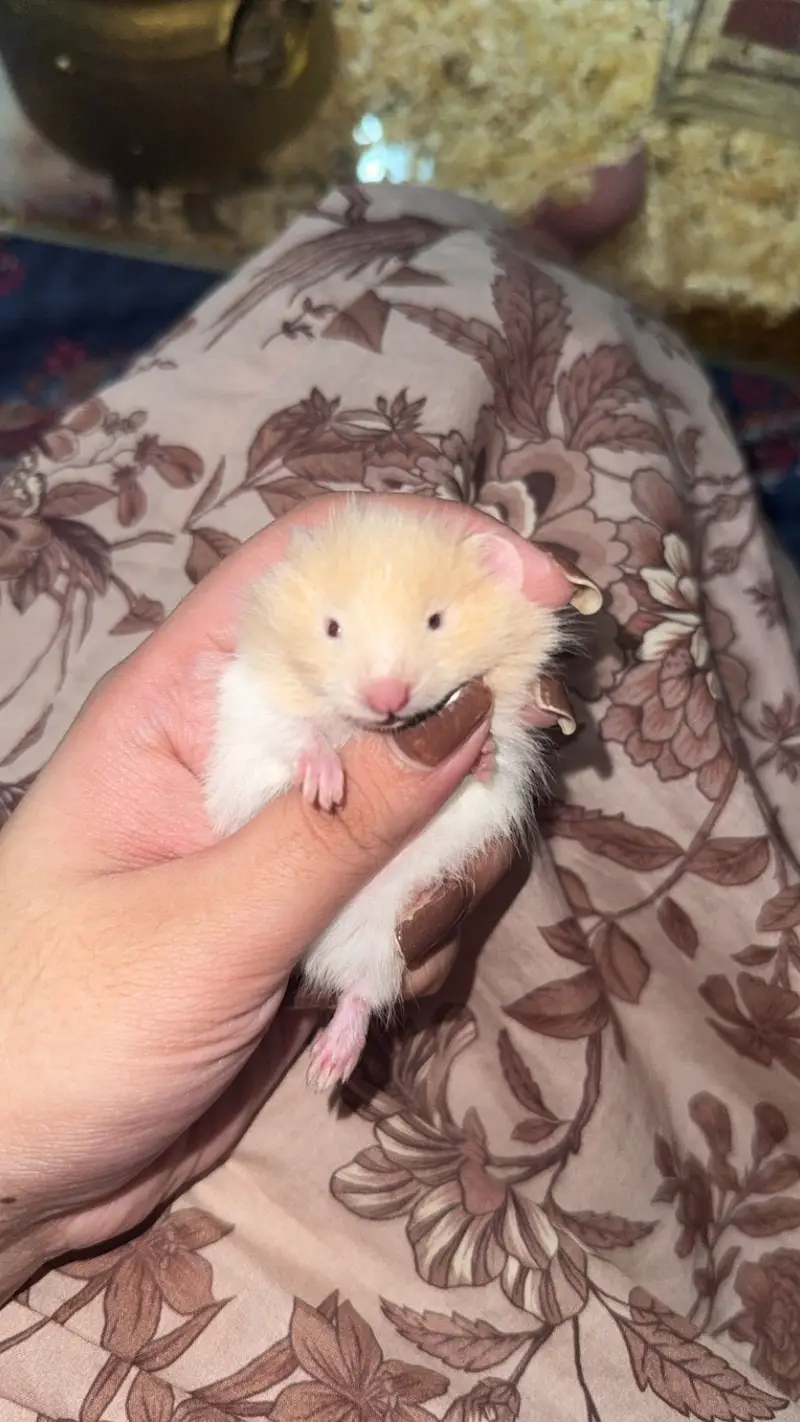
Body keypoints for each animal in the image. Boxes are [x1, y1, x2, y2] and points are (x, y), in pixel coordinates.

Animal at [204, 501, 567, 1092]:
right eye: (331, 627)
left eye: (436, 620)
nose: (387, 698)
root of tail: (319, 955)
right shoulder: (255, 705)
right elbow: (296, 732)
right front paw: (326, 789)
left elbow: (493, 760)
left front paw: (482, 753)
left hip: (383, 940)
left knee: (361, 995)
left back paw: (328, 1069)